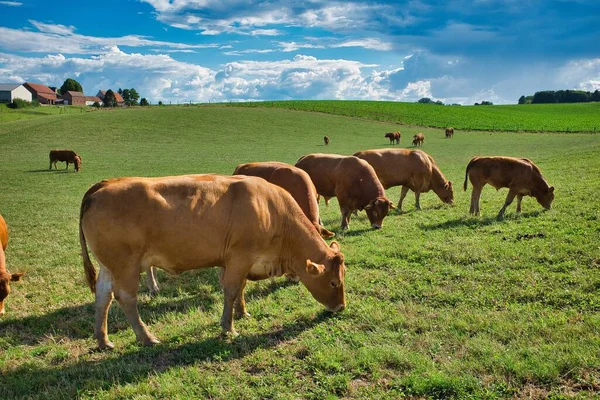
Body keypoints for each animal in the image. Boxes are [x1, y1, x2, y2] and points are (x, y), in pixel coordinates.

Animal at [78, 173, 346, 348]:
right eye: (334, 282)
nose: (341, 307)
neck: (273, 212)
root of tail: (104, 185)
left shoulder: (236, 261)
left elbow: (240, 288)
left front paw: (242, 312)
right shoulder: (240, 257)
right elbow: (231, 290)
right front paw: (229, 327)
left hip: (108, 265)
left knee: (103, 296)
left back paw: (103, 340)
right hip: (126, 265)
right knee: (125, 298)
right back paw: (146, 337)